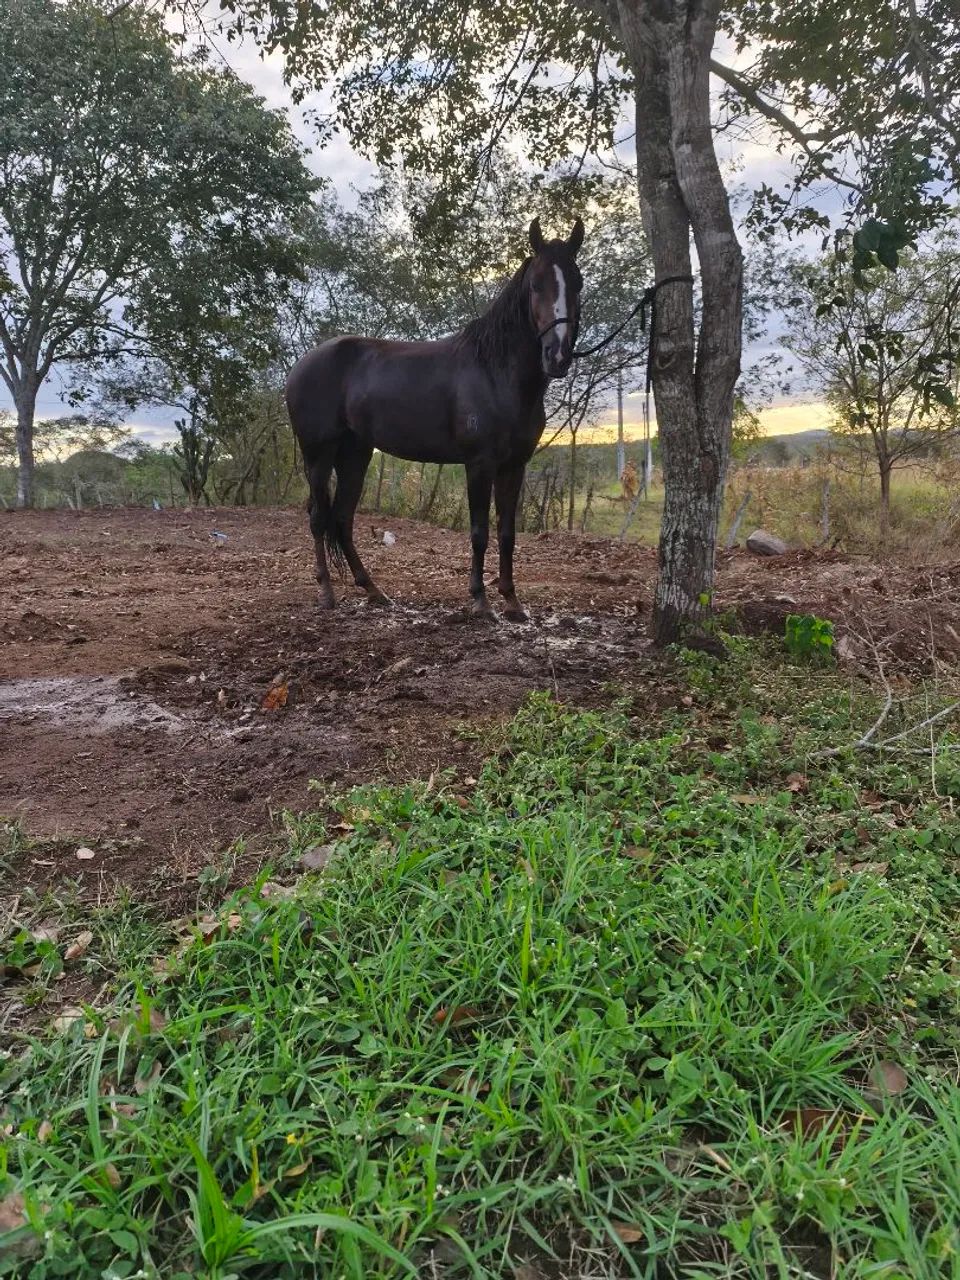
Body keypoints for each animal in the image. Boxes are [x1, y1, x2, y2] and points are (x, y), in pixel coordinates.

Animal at [285, 217, 584, 622]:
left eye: (577, 281)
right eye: (536, 284)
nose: (557, 355)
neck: (495, 372)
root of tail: (300, 366)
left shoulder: (514, 466)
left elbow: (507, 533)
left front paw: (512, 601)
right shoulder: (480, 464)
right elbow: (479, 533)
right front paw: (480, 600)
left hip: (355, 454)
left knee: (343, 519)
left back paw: (374, 591)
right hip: (318, 455)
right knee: (319, 518)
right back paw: (327, 593)